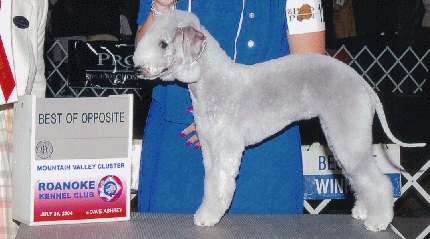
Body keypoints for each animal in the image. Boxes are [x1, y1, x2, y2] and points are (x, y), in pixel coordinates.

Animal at [134, 9, 426, 232]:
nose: (138, 68)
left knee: (376, 181)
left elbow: (219, 183)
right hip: (340, 136)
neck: (211, 80)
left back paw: (378, 221)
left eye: (163, 44)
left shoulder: (227, 147)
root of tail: (362, 83)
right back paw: (364, 211)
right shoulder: (208, 146)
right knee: (360, 177)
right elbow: (210, 182)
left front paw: (208, 217)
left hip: (348, 133)